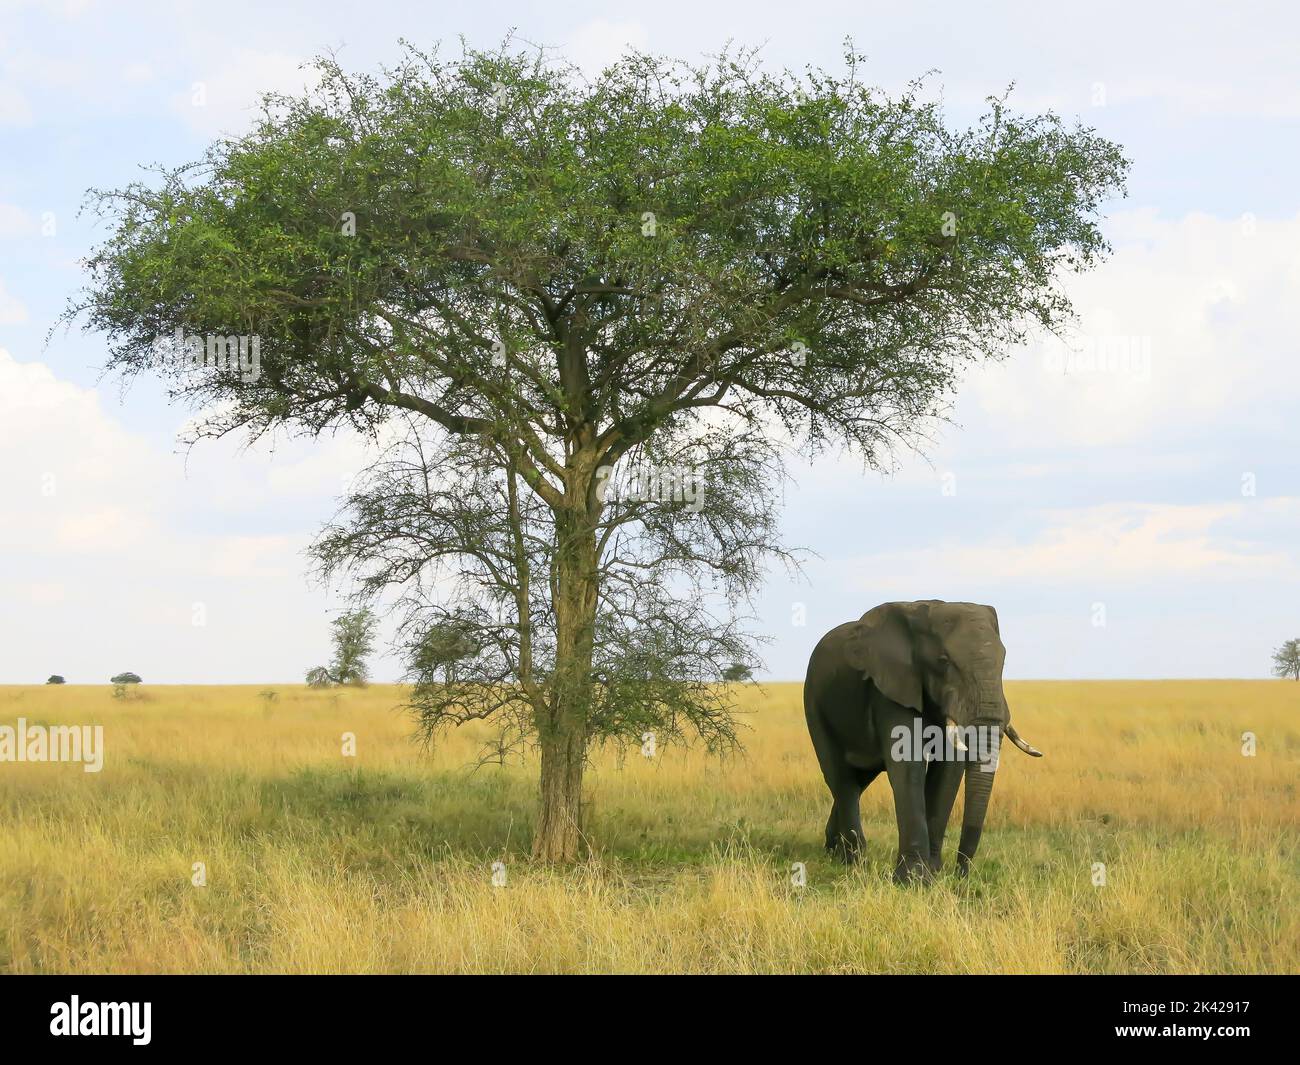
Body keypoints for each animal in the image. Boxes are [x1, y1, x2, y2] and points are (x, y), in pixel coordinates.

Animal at [806, 600, 1040, 884]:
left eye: (1003, 662)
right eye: (944, 661)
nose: (961, 875)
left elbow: (948, 771)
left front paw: (934, 872)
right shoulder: (891, 687)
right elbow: (908, 766)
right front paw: (914, 880)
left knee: (859, 779)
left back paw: (834, 852)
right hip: (814, 702)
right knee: (841, 778)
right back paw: (854, 862)